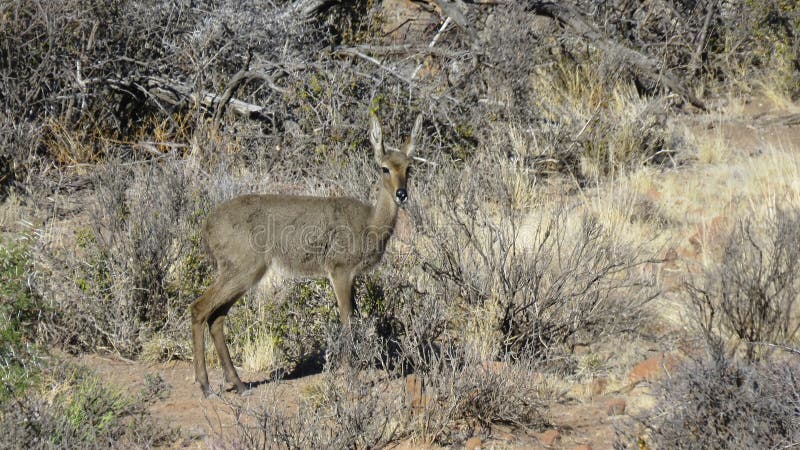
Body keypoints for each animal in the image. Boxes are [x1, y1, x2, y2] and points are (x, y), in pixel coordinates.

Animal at [191, 112, 424, 398]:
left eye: (409, 168)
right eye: (384, 168)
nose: (402, 194)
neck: (369, 223)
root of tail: (207, 225)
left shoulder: (352, 277)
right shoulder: (339, 270)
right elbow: (347, 321)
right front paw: (352, 379)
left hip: (241, 275)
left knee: (216, 317)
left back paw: (239, 384)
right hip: (242, 270)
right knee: (199, 308)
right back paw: (206, 386)